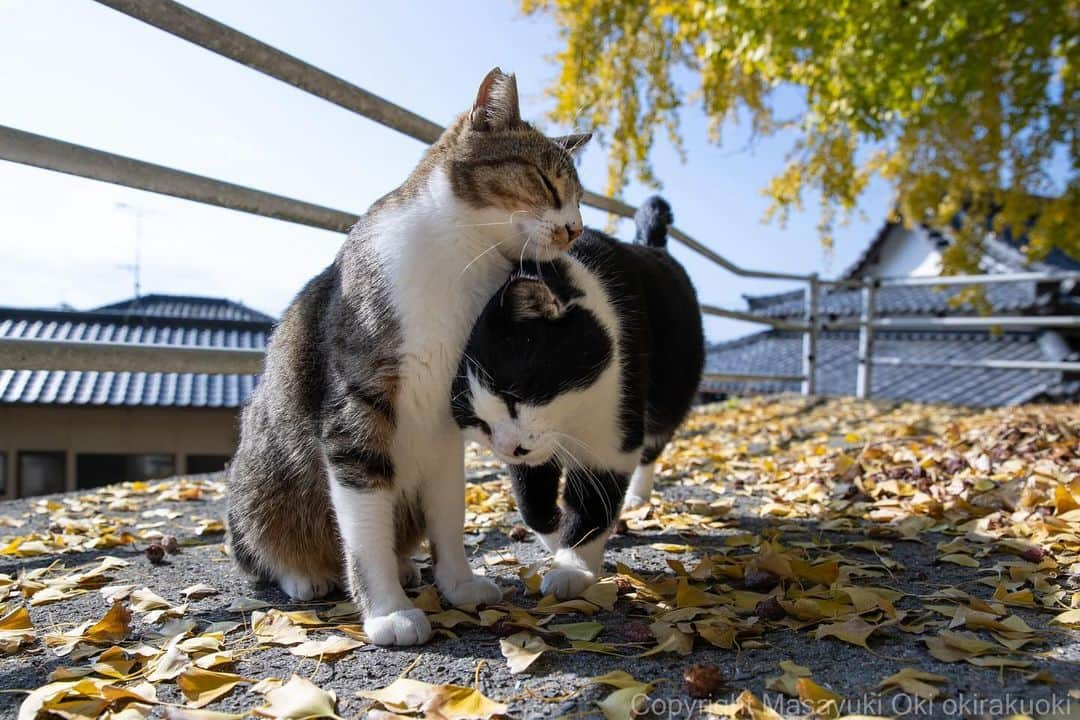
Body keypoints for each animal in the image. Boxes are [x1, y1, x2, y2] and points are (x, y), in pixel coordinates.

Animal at [226, 69, 591, 647]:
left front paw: (459, 584)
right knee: (264, 547)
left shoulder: (447, 418)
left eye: (581, 199)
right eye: (546, 181)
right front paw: (387, 611)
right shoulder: (356, 412)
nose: (576, 229)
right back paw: (305, 574)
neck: (462, 263)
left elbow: (448, 512)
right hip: (262, 481)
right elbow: (363, 529)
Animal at [451, 195, 704, 595]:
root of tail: (653, 246)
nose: (510, 447)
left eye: (515, 391)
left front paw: (573, 567)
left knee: (653, 443)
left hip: (670, 390)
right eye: (477, 421)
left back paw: (638, 496)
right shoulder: (531, 459)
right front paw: (557, 538)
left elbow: (591, 502)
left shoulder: (611, 431)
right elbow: (533, 504)